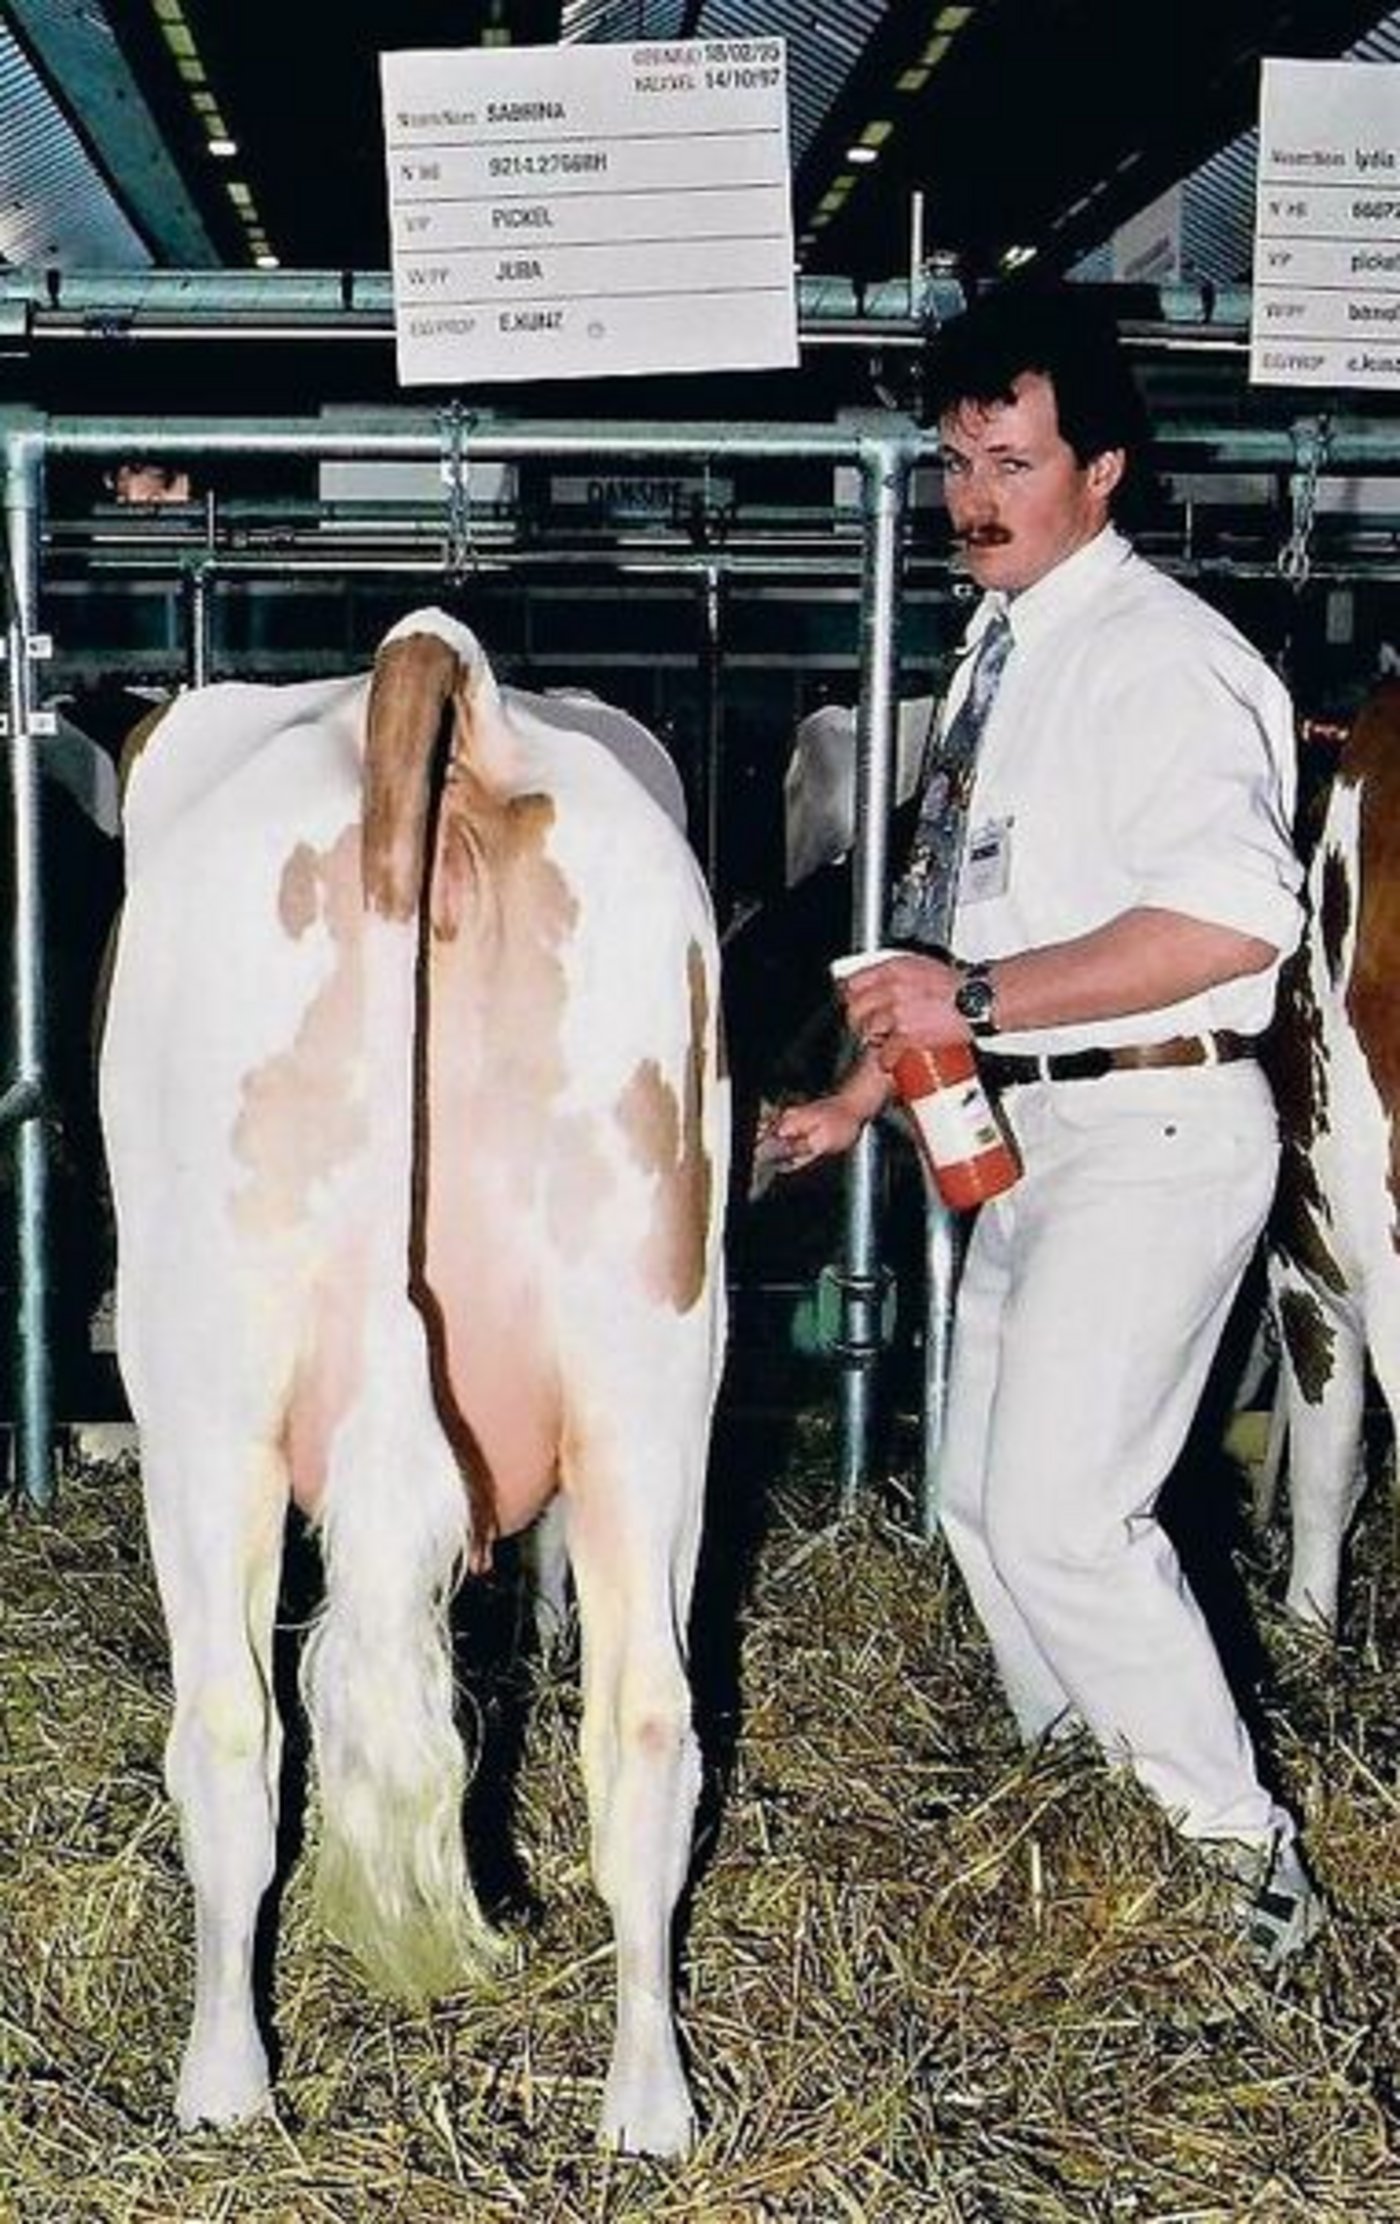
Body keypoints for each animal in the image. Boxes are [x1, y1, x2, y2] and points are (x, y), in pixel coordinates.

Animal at [98, 608, 730, 2157]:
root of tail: (437, 662)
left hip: (202, 1386)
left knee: (228, 1731)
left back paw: (223, 2089)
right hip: (653, 1361)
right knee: (647, 1724)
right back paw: (649, 2109)